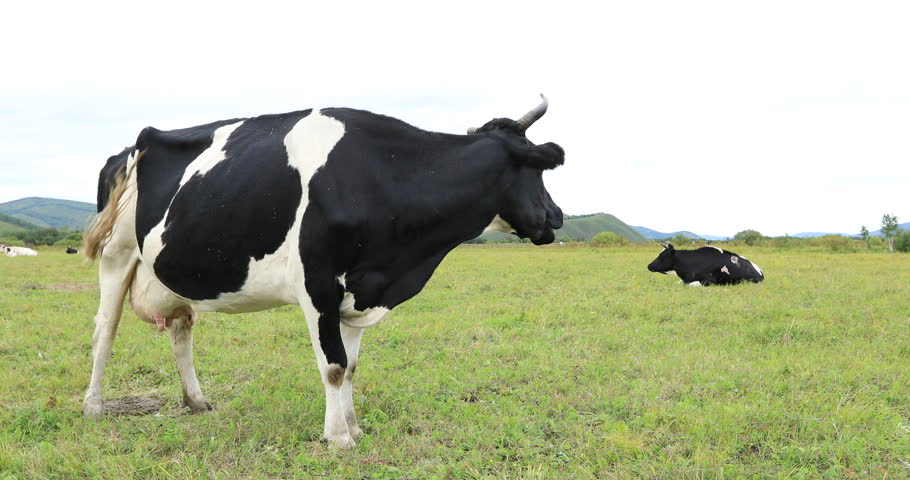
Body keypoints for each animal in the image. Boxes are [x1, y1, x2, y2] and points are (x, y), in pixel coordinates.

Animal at [81, 95, 564, 448]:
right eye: (538, 170)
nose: (557, 216)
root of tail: (132, 146)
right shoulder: (317, 286)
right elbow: (333, 366)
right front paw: (338, 439)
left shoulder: (359, 291)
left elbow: (351, 367)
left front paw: (354, 427)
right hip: (117, 254)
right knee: (105, 329)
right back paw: (93, 406)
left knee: (182, 331)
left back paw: (197, 402)